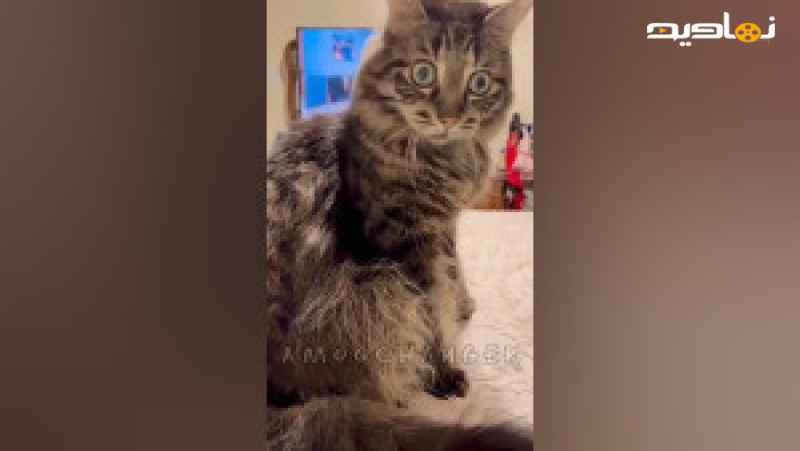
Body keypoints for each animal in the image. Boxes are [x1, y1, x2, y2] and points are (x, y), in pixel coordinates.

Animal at [266, 0, 533, 449]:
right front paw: (444, 372)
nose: (449, 118)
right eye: (423, 73)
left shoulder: (444, 225)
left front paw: (464, 306)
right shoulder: (404, 239)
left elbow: (453, 274)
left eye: (479, 82)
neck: (444, 159)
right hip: (375, 289)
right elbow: (433, 310)